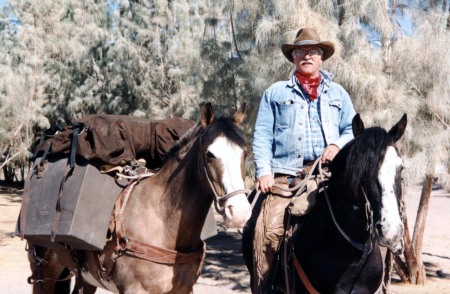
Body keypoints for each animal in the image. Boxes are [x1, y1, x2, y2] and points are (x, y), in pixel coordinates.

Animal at [23, 102, 253, 292]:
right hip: (44, 274)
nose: (240, 213)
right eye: (209, 154)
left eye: (245, 153)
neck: (163, 222)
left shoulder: (183, 290)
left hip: (88, 279)